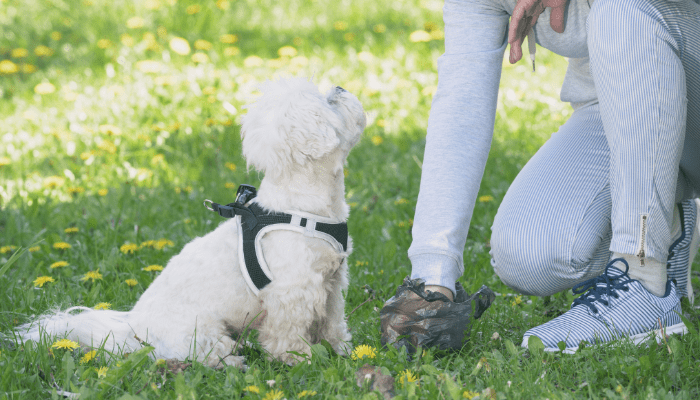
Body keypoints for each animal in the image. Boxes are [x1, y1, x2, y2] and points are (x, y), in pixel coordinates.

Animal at [16, 76, 366, 368]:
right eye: (327, 102)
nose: (340, 87)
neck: (302, 205)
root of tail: (133, 328)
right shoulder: (292, 292)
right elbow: (288, 334)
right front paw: (299, 359)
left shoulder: (332, 282)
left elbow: (333, 322)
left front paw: (341, 350)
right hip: (200, 330)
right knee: (205, 352)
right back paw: (231, 362)